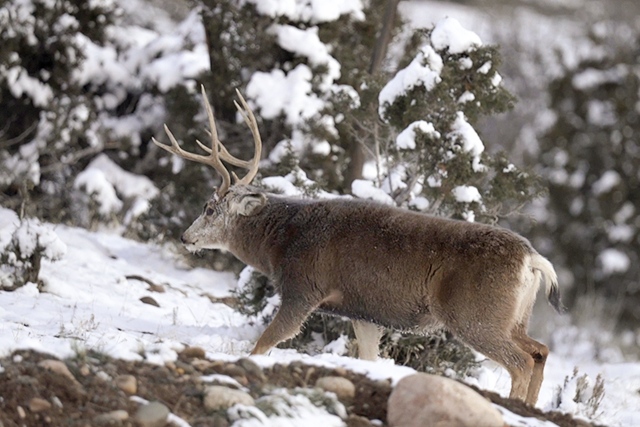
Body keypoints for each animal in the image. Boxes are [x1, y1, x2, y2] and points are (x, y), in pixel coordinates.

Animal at [152, 86, 563, 406]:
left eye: (209, 209)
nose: (185, 237)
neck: (280, 242)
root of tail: (533, 260)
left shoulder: (302, 288)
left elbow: (265, 343)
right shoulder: (363, 311)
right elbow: (369, 358)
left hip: (474, 314)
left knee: (521, 361)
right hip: (512, 316)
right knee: (540, 350)